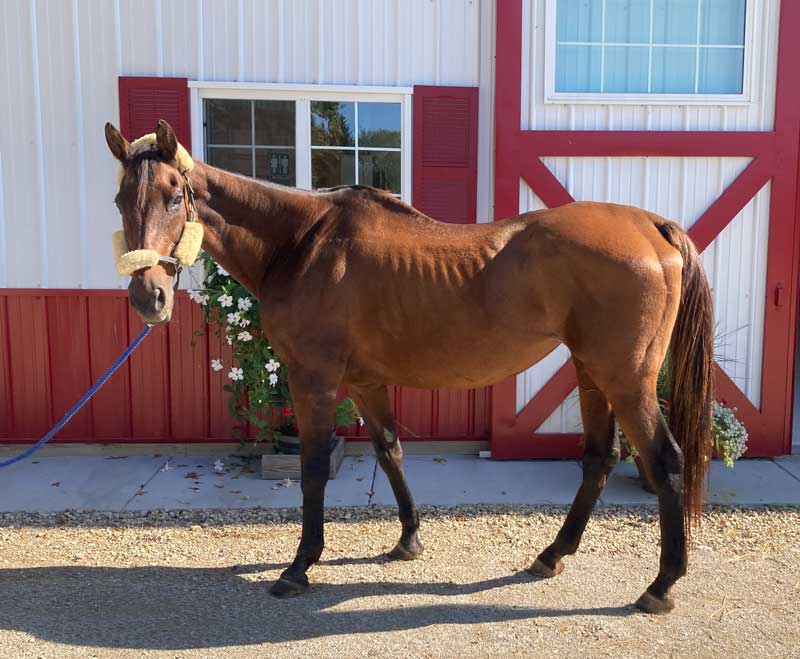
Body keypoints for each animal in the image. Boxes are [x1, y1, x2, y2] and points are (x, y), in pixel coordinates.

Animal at [104, 121, 712, 616]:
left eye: (174, 196)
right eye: (119, 199)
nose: (149, 298)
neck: (302, 243)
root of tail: (650, 225)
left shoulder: (313, 381)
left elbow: (313, 470)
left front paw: (300, 566)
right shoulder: (365, 381)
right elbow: (390, 451)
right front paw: (408, 540)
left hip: (627, 379)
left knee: (666, 461)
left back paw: (661, 585)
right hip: (590, 371)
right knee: (599, 459)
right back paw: (551, 554)